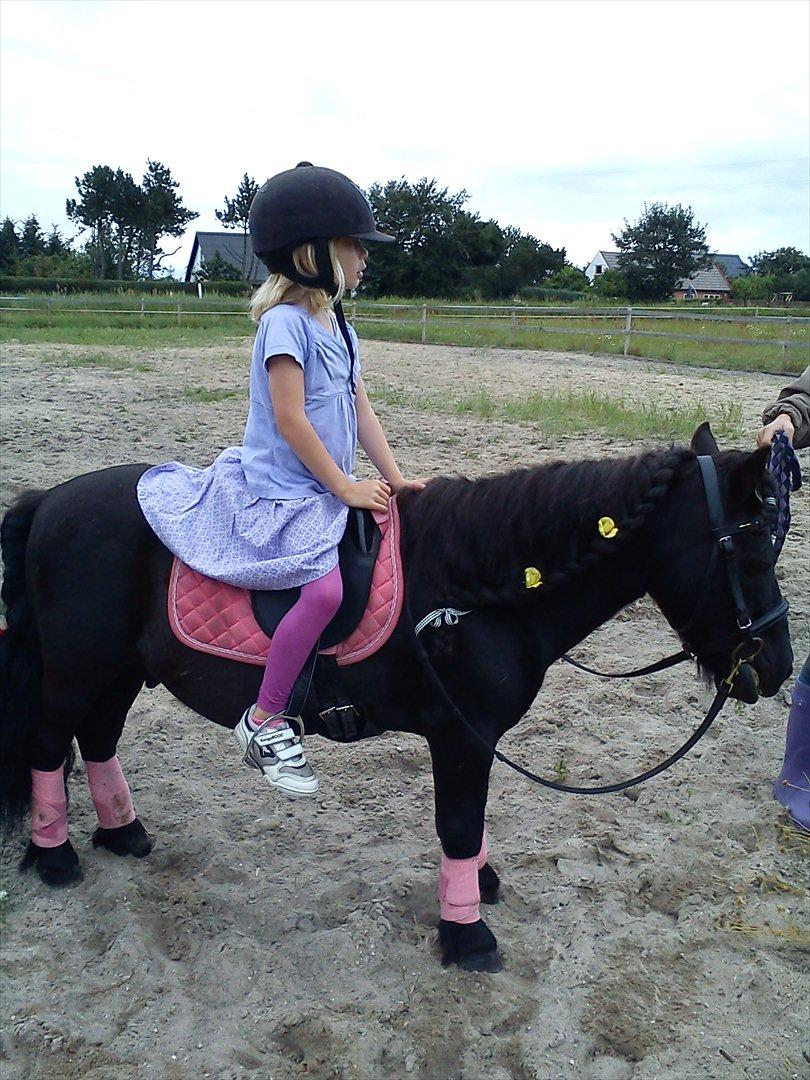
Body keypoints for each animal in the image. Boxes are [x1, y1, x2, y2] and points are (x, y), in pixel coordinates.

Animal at [0, 425, 794, 976]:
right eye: (755, 552)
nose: (779, 668)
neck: (472, 591)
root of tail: (50, 501)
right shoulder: (461, 735)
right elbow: (459, 825)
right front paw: (466, 933)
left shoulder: (473, 739)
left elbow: (472, 824)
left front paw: (477, 889)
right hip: (76, 668)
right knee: (45, 744)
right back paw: (57, 857)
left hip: (117, 671)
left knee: (98, 740)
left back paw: (123, 834)